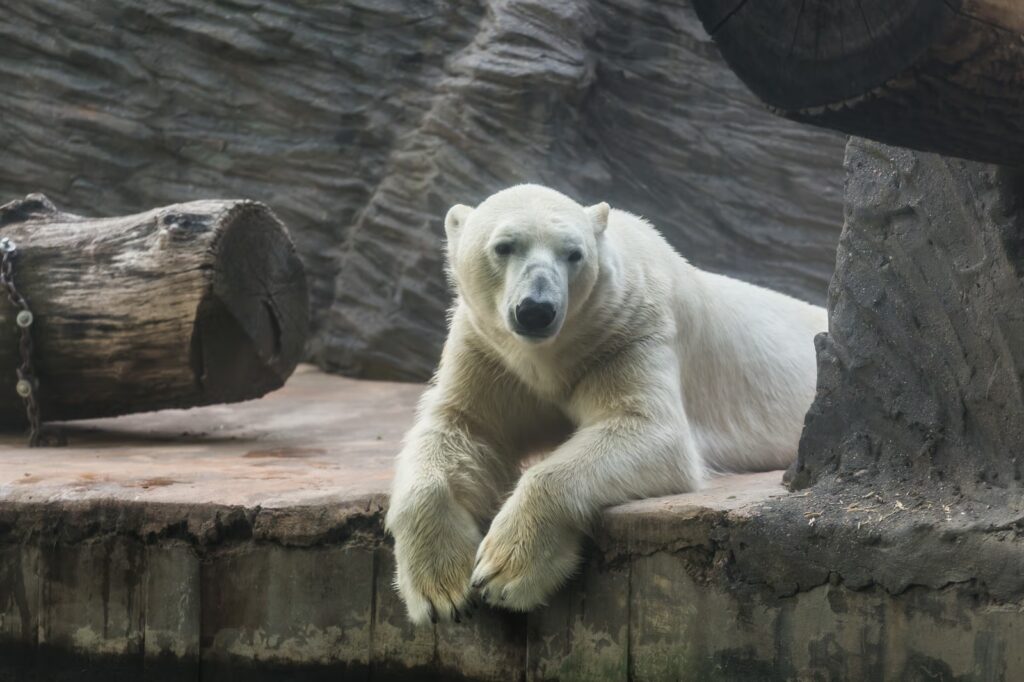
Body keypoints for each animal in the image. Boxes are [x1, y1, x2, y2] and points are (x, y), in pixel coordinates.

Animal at [385, 184, 826, 623]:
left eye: (573, 253)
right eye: (504, 246)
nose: (536, 310)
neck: (549, 355)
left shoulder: (627, 334)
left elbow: (645, 426)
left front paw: (504, 572)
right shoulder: (488, 354)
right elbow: (463, 426)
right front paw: (441, 589)